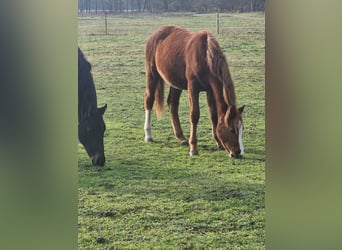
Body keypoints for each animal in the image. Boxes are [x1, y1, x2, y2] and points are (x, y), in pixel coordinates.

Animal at [143, 25, 244, 158]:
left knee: (172, 104)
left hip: (175, 83)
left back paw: (181, 137)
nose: (238, 153)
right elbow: (194, 115)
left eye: (242, 129)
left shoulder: (210, 90)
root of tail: (156, 34)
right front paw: (193, 148)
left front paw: (218, 143)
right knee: (149, 101)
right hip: (152, 74)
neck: (205, 56)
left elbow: (214, 115)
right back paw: (148, 135)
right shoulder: (193, 88)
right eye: (232, 129)